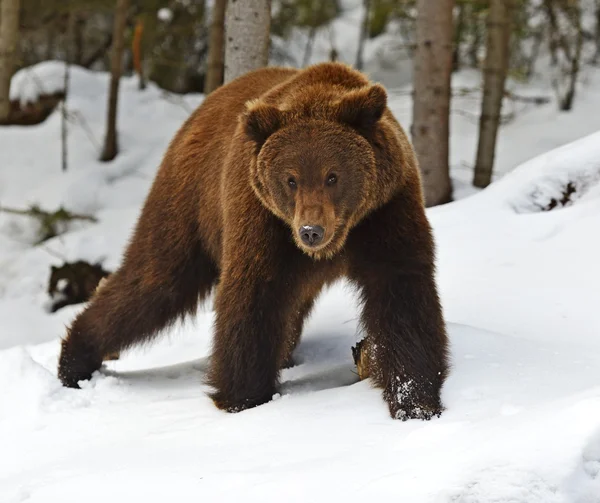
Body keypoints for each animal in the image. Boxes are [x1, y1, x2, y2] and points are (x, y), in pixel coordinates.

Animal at [57, 61, 450, 420]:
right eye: (290, 179)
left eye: (332, 175)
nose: (311, 230)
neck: (338, 241)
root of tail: (200, 109)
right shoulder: (263, 220)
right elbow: (253, 297)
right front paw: (242, 397)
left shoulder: (386, 211)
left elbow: (402, 295)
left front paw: (415, 400)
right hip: (190, 205)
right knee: (154, 282)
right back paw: (75, 359)